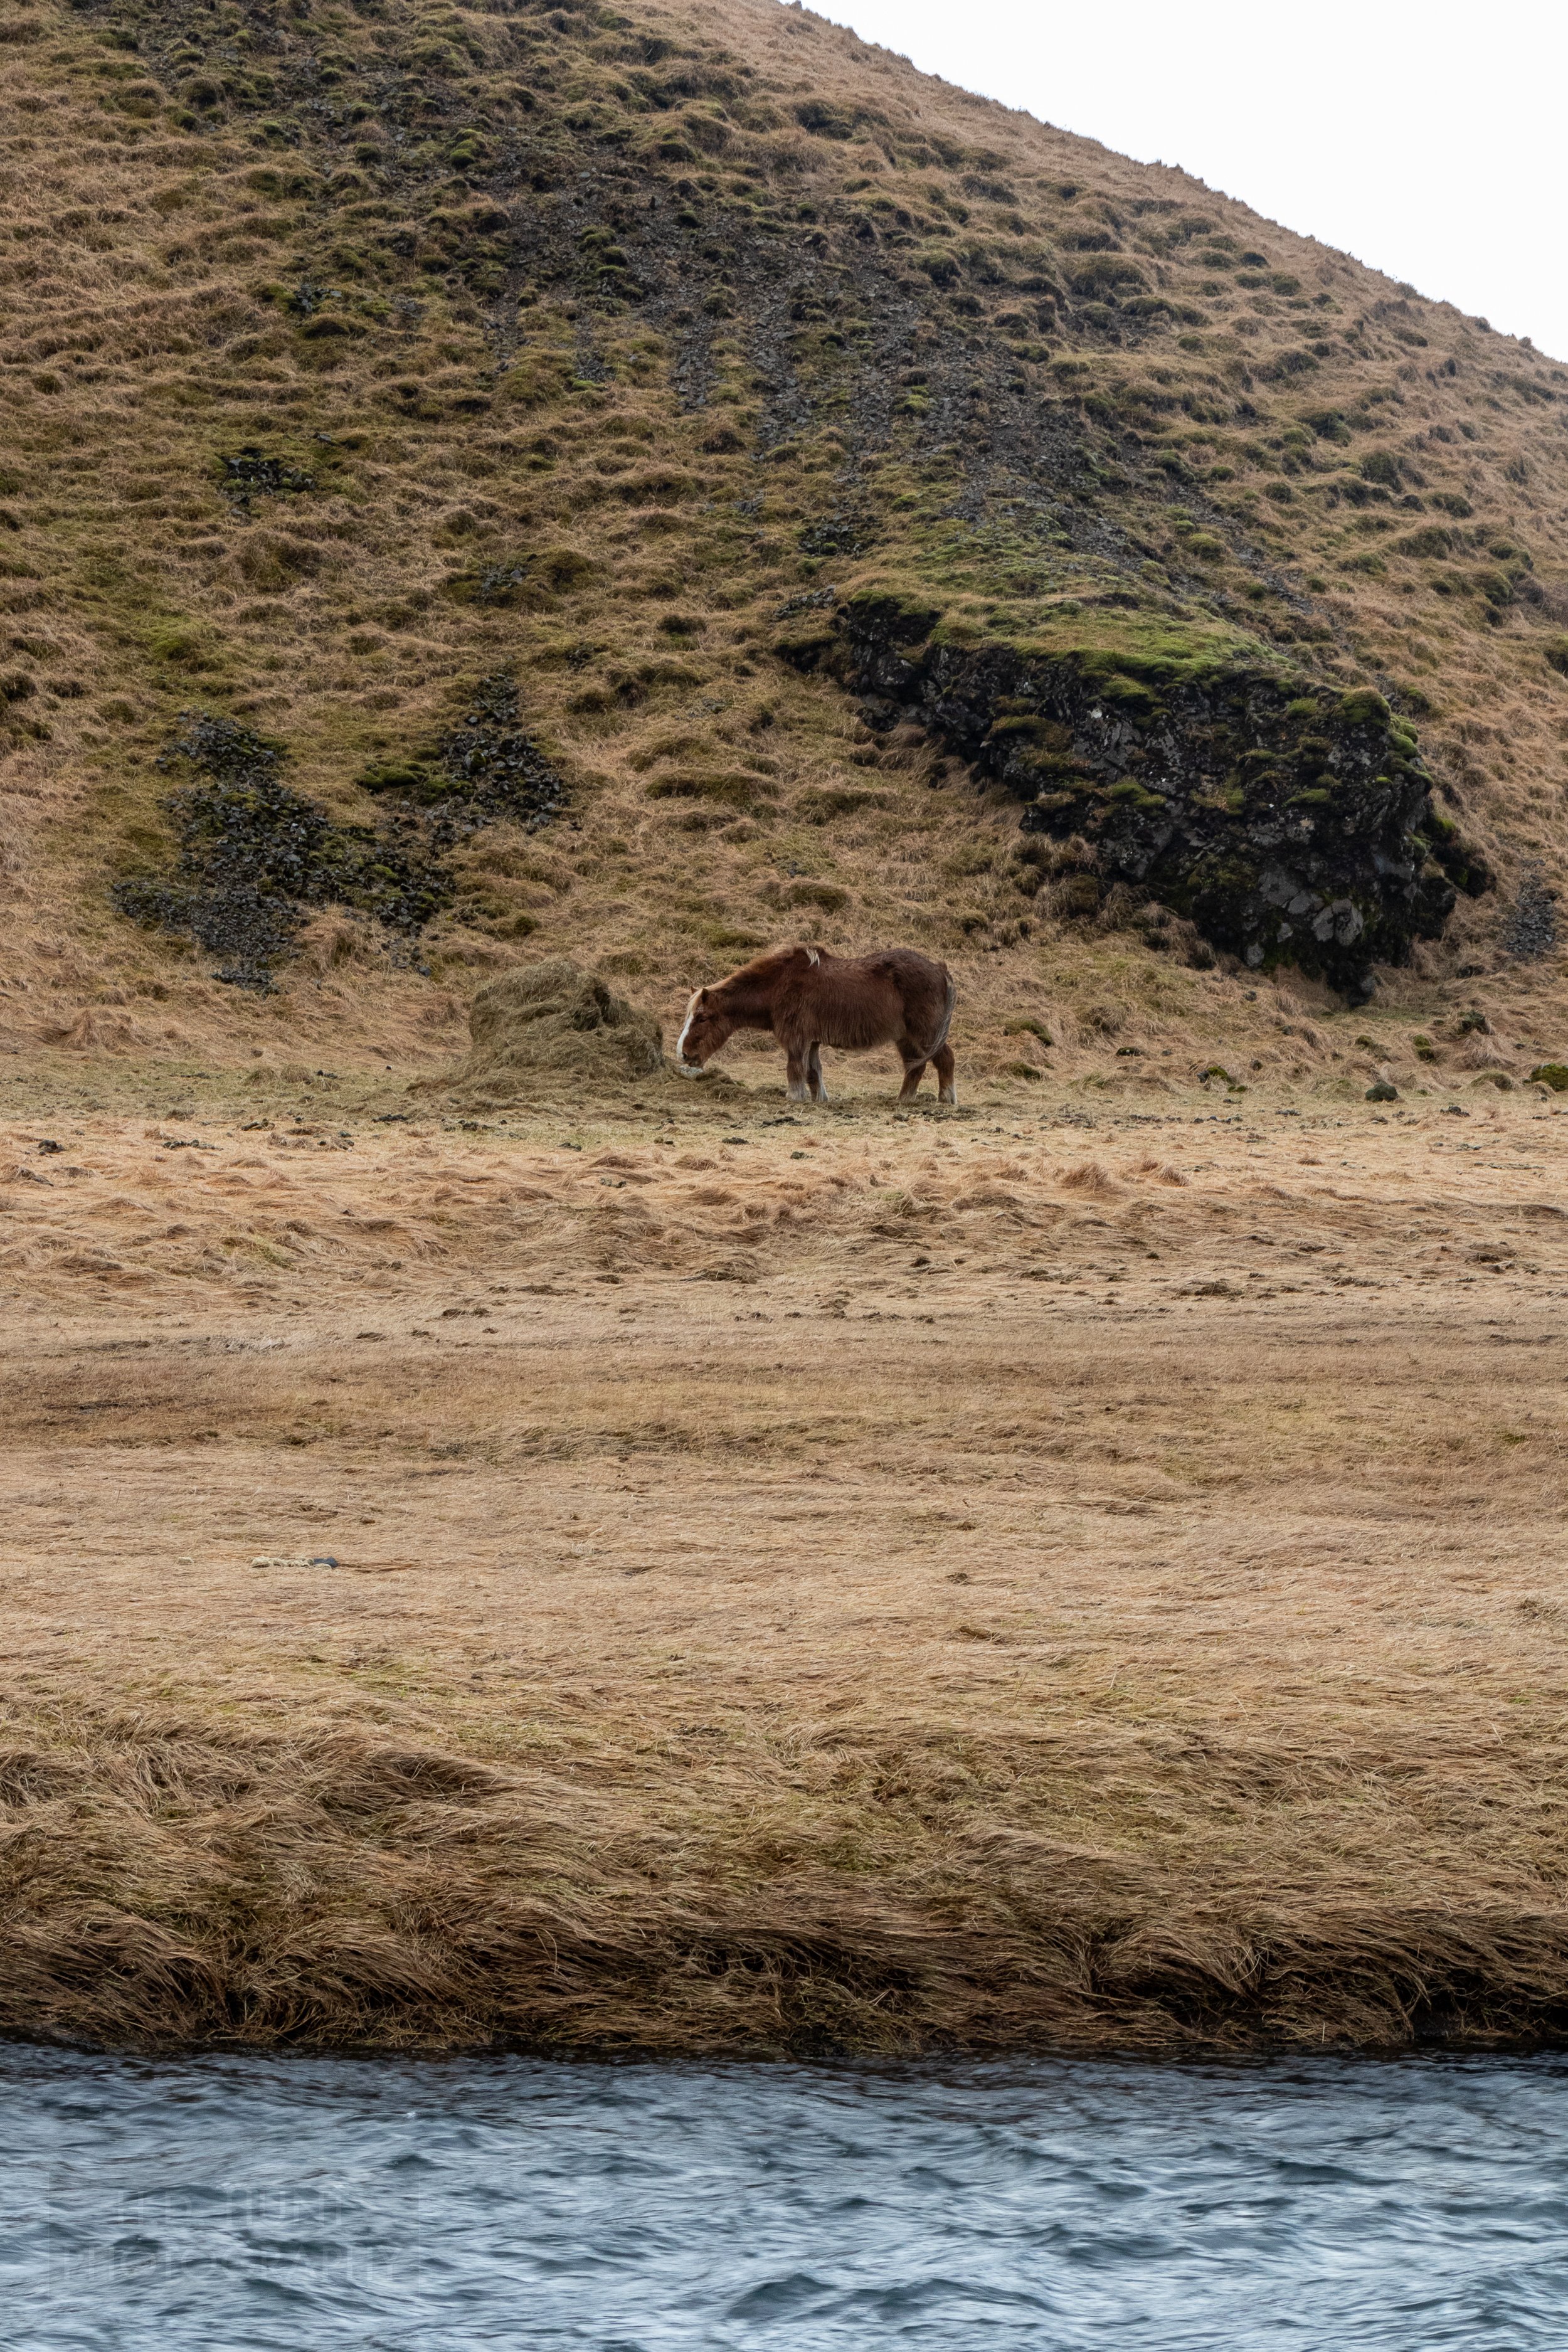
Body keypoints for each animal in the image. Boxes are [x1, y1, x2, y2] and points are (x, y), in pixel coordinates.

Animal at [674, 944, 957, 1104]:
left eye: (702, 1018)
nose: (684, 1055)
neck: (778, 984)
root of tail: (940, 969)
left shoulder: (796, 1039)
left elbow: (795, 1069)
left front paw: (794, 1098)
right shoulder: (812, 1041)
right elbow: (813, 1072)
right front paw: (819, 1099)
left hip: (925, 1034)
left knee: (945, 1060)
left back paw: (946, 1099)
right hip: (906, 1038)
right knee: (915, 1068)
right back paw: (903, 1101)